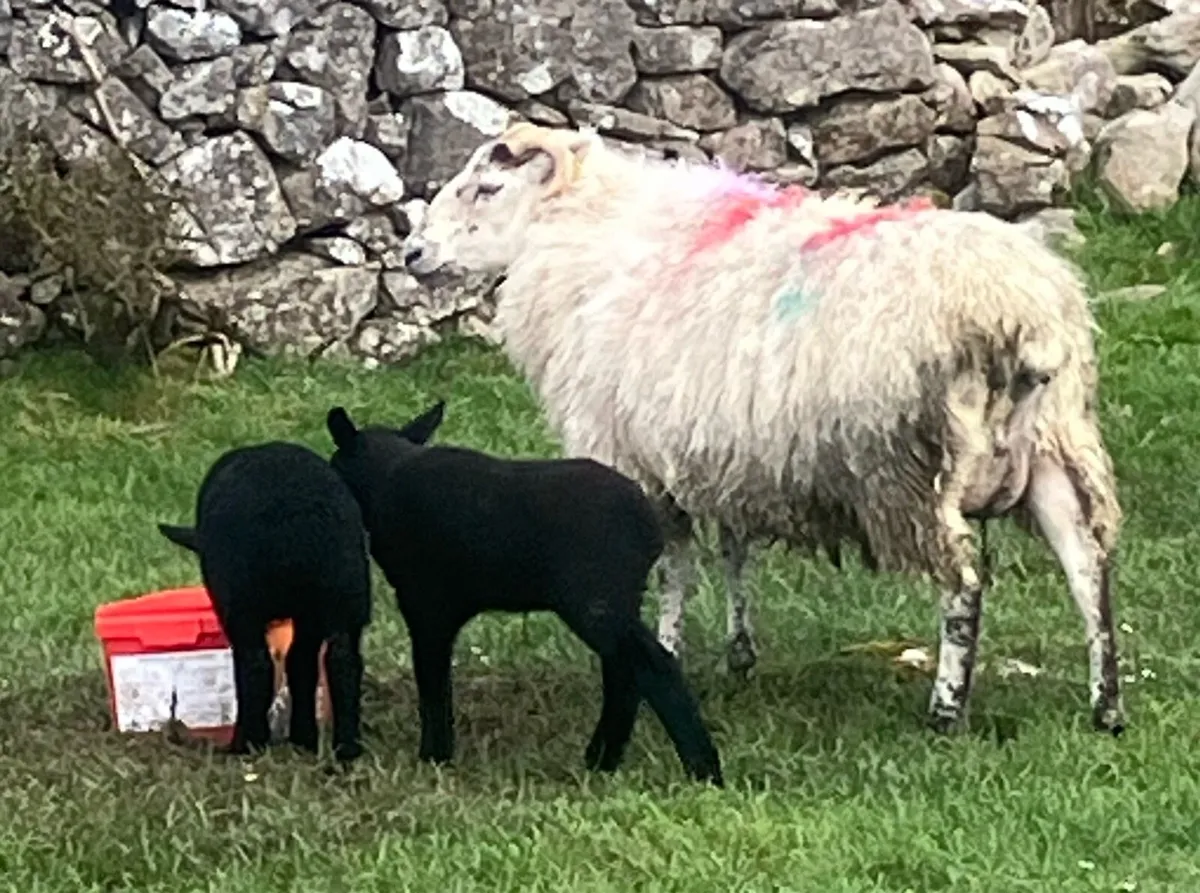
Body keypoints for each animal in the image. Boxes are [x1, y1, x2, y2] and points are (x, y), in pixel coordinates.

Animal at [158, 441, 371, 762]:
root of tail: (298, 520)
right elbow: (302, 663)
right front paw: (305, 737)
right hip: (343, 593)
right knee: (340, 662)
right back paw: (342, 747)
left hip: (243, 602)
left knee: (255, 666)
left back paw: (245, 744)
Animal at [324, 400, 724, 785]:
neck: (390, 474)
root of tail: (647, 524)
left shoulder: (426, 602)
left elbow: (432, 679)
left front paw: (434, 756)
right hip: (618, 600)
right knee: (623, 672)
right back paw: (602, 759)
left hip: (596, 600)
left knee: (653, 665)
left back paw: (702, 768)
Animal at [397, 121, 1127, 737]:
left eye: (488, 188)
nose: (411, 253)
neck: (588, 234)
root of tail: (1020, 311)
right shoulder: (721, 453)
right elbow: (732, 551)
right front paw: (738, 652)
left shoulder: (638, 461)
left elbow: (674, 567)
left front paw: (664, 652)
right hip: (1056, 451)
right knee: (1088, 569)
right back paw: (1107, 705)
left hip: (909, 469)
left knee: (964, 585)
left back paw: (946, 709)